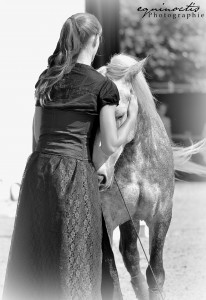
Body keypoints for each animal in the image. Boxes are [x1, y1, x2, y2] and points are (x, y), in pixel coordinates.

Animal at [93, 53, 206, 300]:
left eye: (119, 114)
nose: (98, 176)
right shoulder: (106, 222)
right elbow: (110, 278)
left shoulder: (161, 215)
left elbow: (155, 272)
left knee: (131, 256)